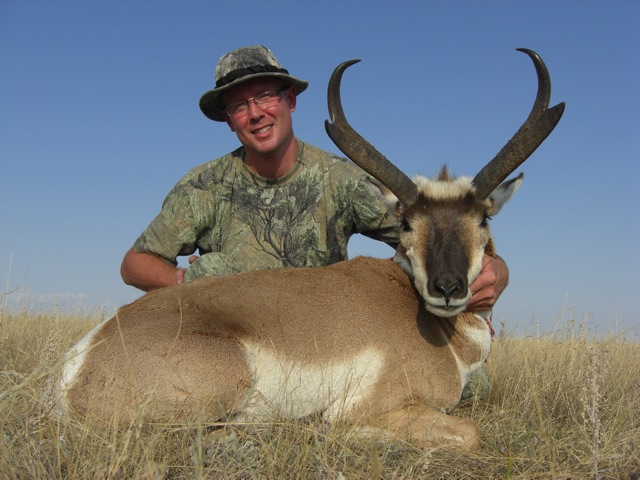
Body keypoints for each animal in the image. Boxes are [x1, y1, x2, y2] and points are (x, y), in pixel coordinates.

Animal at [57, 48, 564, 450]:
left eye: (483, 219)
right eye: (406, 222)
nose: (447, 287)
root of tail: (81, 361)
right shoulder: (374, 406)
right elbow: (467, 433)